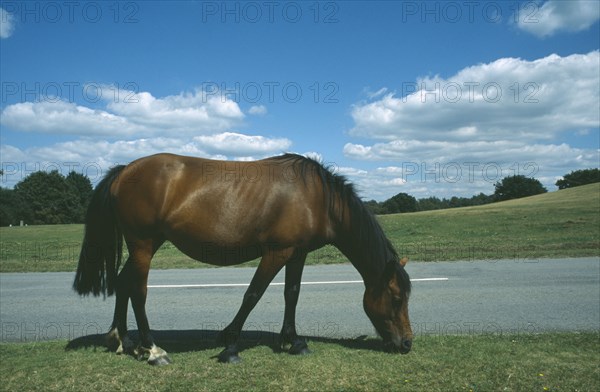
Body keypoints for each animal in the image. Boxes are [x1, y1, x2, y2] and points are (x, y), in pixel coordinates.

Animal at [74, 153, 412, 364]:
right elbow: (253, 295)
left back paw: (122, 341)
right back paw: (154, 350)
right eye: (397, 298)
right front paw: (231, 344)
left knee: (123, 284)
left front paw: (293, 341)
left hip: (146, 245)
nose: (407, 344)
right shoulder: (276, 252)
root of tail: (124, 170)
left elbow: (292, 294)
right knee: (138, 291)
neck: (318, 198)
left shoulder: (297, 253)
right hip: (144, 244)